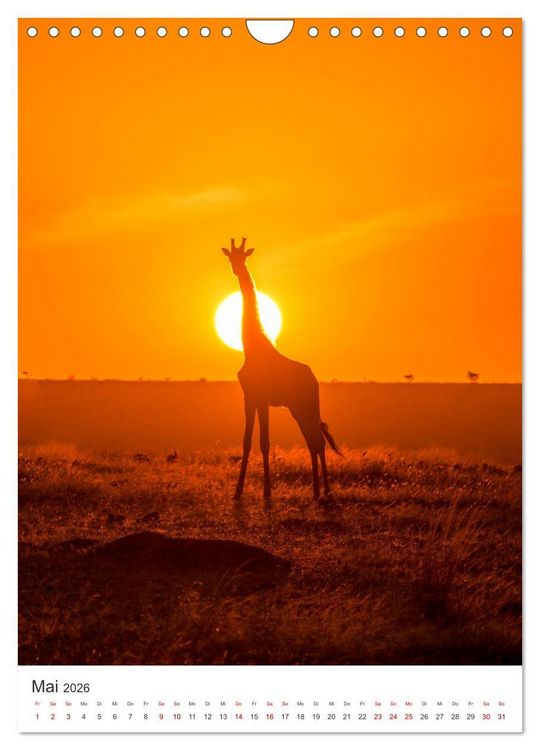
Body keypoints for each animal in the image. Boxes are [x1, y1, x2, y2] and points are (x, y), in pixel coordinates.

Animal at [221, 237, 341, 502]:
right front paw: (237, 492)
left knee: (317, 440)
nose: (236, 269)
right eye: (230, 256)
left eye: (244, 256)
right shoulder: (249, 397)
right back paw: (317, 492)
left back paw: (325, 492)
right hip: (297, 408)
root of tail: (314, 380)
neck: (252, 348)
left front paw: (267, 492)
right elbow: (247, 441)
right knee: (313, 440)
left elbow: (265, 442)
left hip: (307, 405)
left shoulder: (263, 399)